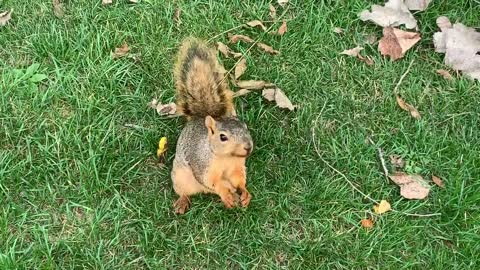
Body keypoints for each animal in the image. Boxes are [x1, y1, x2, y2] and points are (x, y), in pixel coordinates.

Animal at [172, 38, 255, 215]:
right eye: (222, 137)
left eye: (245, 127)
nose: (248, 147)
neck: (227, 158)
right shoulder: (201, 163)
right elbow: (212, 182)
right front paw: (225, 194)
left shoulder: (237, 167)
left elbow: (239, 180)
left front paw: (244, 192)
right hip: (179, 177)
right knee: (184, 191)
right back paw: (183, 201)